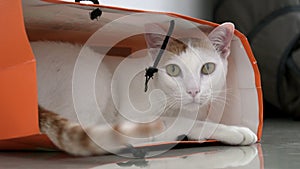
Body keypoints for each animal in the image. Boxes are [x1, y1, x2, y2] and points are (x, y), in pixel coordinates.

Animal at [32, 22, 258, 156]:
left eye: (208, 68)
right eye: (173, 70)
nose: (193, 91)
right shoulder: (134, 119)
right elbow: (188, 122)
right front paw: (233, 130)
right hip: (95, 73)